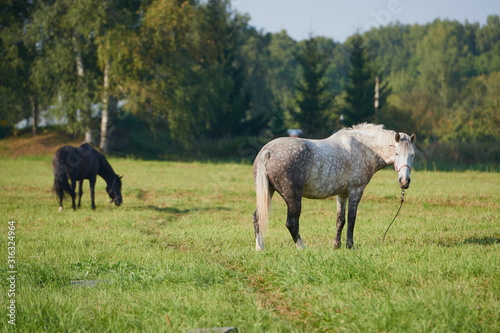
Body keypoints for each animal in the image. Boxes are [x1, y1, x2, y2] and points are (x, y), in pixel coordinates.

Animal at [252, 123, 416, 250]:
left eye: (412, 155)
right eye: (396, 153)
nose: (404, 182)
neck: (363, 148)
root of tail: (268, 151)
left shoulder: (342, 194)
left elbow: (340, 220)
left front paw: (336, 245)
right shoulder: (356, 191)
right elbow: (351, 219)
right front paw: (350, 246)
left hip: (268, 192)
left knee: (257, 217)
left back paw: (260, 248)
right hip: (293, 197)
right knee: (291, 223)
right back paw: (302, 247)